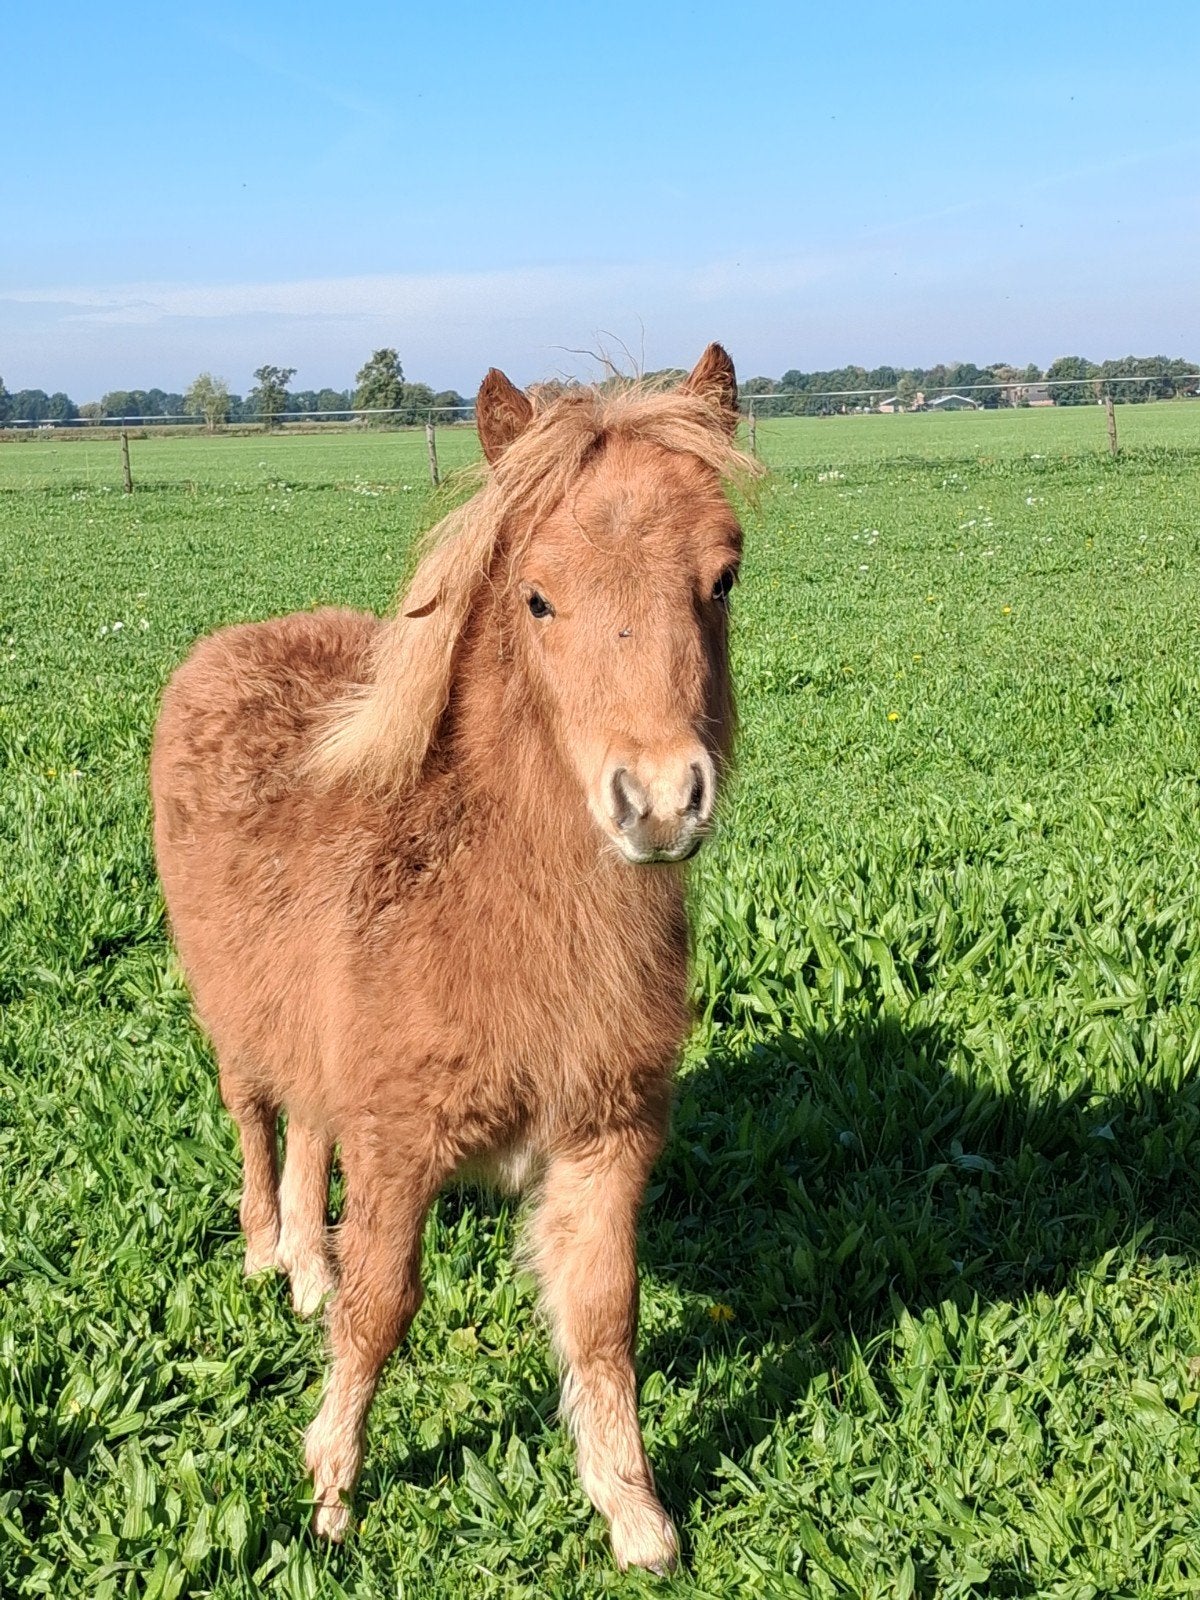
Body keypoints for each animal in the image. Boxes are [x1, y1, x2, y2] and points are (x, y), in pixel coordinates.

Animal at [150, 344, 750, 1573]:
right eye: (538, 595)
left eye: (723, 577)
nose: (659, 801)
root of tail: (230, 642)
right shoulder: (398, 1147)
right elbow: (381, 1306)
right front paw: (332, 1491)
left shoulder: (605, 1139)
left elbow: (602, 1316)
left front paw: (635, 1511)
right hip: (232, 1016)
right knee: (256, 1118)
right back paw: (264, 1252)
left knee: (306, 1132)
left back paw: (303, 1260)